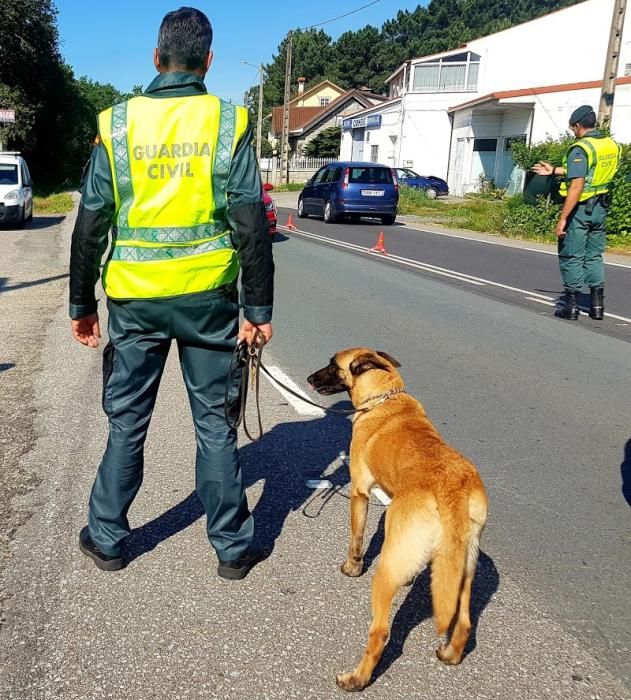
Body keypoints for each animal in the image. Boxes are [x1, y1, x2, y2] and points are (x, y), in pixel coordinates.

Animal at [306, 348, 488, 692]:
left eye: (333, 365)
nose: (310, 378)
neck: (385, 397)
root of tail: (452, 491)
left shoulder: (359, 493)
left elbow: (356, 537)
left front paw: (352, 567)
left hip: (386, 573)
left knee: (380, 633)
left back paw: (357, 679)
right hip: (464, 569)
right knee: (464, 622)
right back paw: (450, 654)